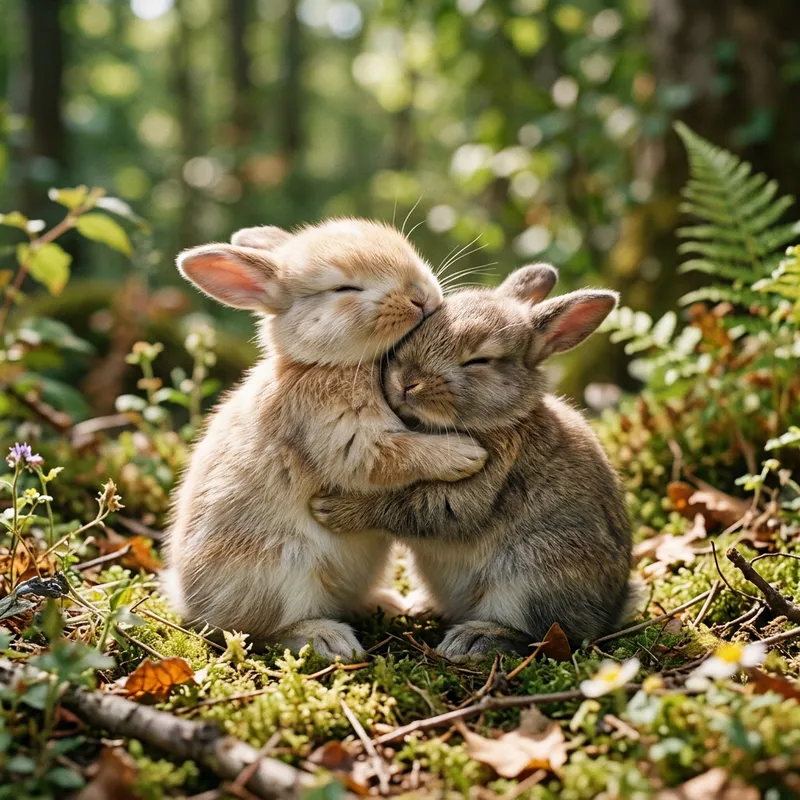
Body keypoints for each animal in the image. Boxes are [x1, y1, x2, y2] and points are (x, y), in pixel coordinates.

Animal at [165, 218, 488, 660]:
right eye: (344, 289)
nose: (421, 297)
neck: (325, 364)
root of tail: (189, 603)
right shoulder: (346, 438)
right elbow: (396, 454)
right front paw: (466, 456)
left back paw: (388, 603)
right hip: (281, 571)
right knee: (259, 631)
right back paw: (329, 640)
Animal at [310, 264, 633, 661]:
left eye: (479, 360)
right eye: (421, 327)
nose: (407, 381)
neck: (498, 420)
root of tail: (612, 611)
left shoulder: (477, 485)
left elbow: (411, 507)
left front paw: (333, 509)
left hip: (531, 574)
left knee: (542, 635)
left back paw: (474, 639)